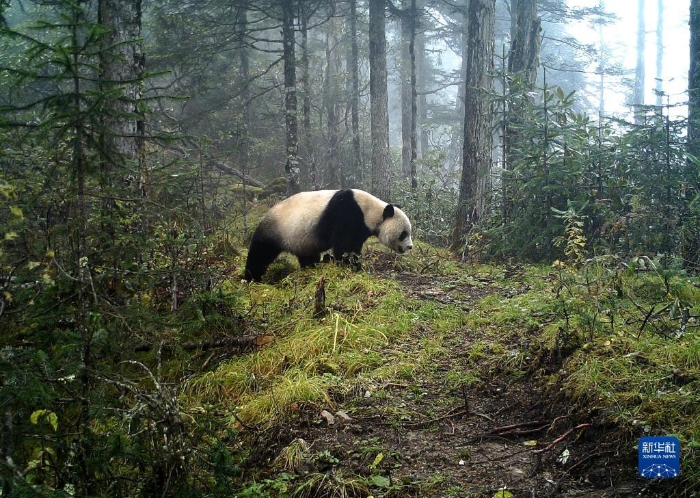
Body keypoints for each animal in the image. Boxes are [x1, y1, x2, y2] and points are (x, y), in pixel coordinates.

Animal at [243, 188, 412, 280]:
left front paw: (356, 264)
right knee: (260, 253)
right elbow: (345, 246)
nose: (410, 247)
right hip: (276, 230)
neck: (371, 210)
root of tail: (265, 215)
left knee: (307, 256)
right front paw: (351, 266)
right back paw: (251, 278)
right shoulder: (347, 214)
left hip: (302, 239)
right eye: (404, 234)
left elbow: (354, 246)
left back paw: (311, 267)